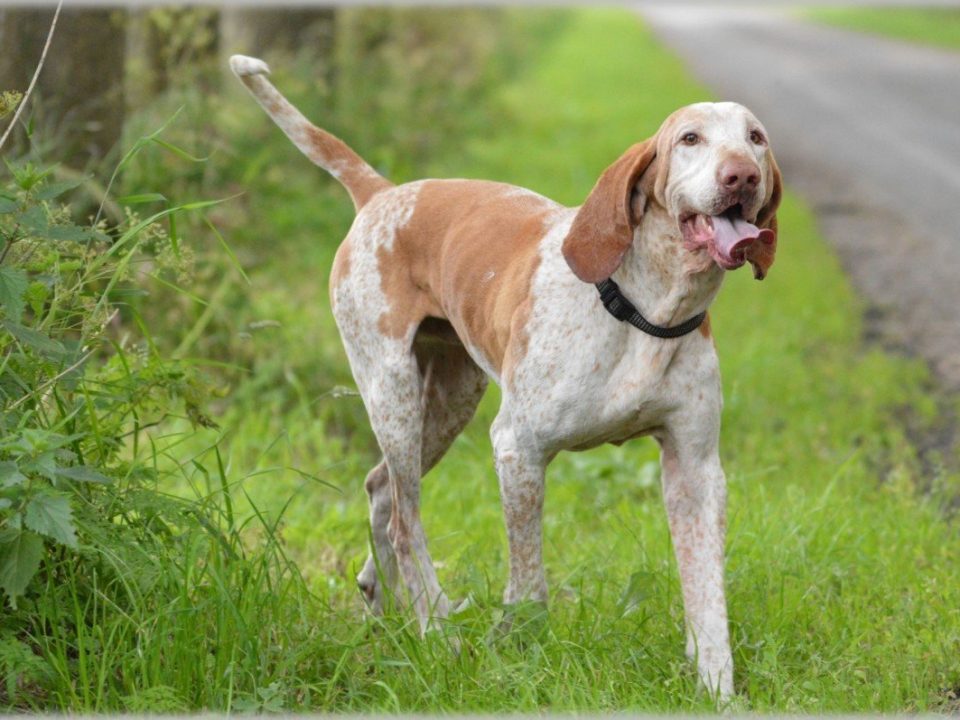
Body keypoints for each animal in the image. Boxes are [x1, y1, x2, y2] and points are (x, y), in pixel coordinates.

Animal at [231, 53, 780, 700]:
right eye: (690, 139)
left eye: (756, 137)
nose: (742, 177)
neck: (646, 309)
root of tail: (383, 193)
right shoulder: (518, 448)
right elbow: (529, 581)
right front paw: (517, 651)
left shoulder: (695, 470)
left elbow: (707, 596)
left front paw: (718, 688)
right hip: (393, 392)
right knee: (405, 521)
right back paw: (437, 630)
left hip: (447, 402)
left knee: (380, 489)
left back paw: (384, 604)